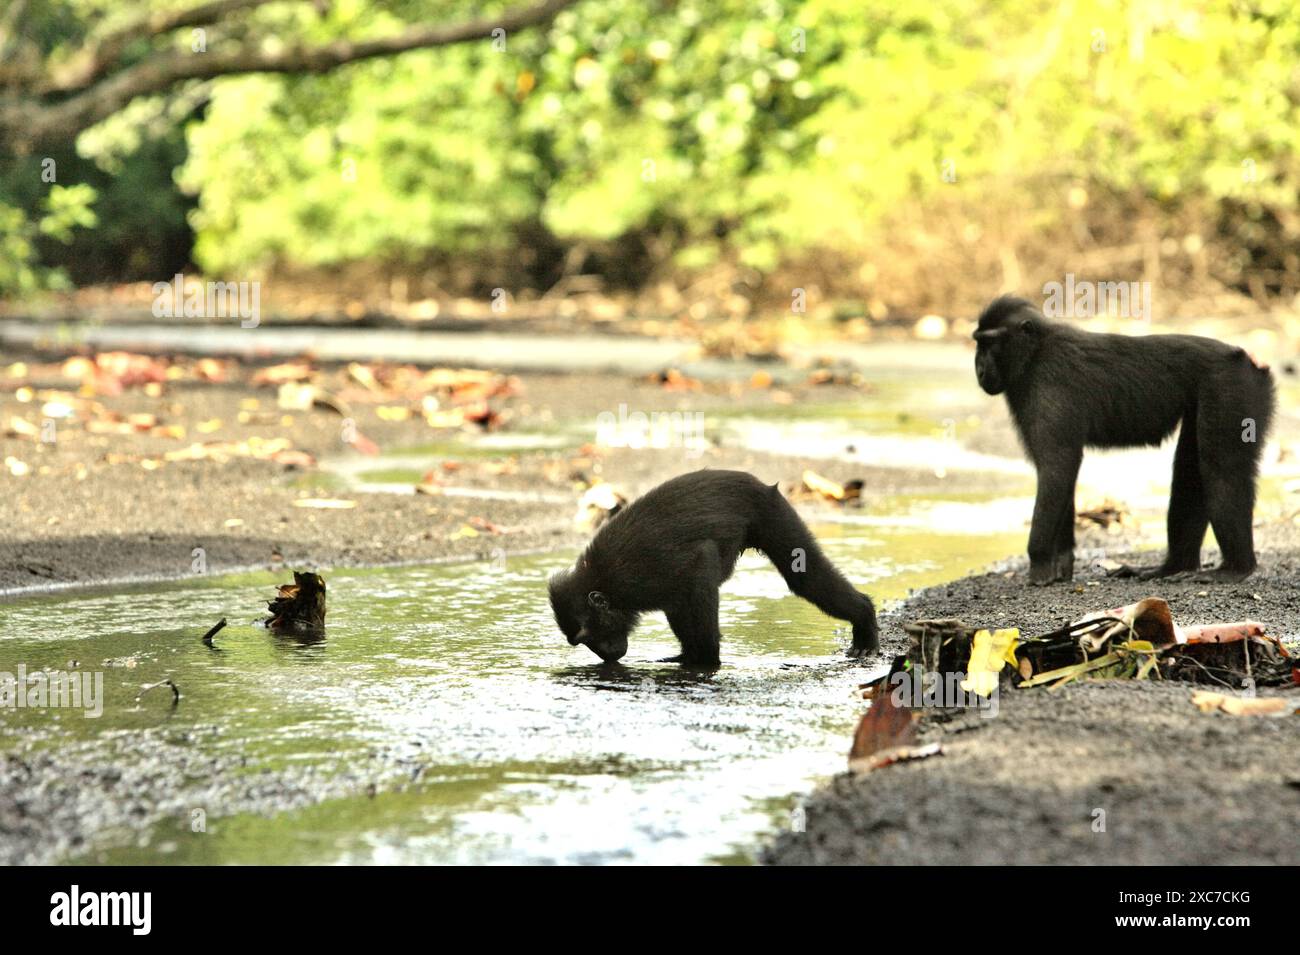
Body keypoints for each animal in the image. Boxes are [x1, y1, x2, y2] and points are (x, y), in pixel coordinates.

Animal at [548, 470, 879, 665]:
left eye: (588, 638)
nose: (605, 655)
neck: (606, 582)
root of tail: (758, 484)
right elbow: (677, 605)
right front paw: (685, 657)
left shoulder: (647, 576)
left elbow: (701, 567)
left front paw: (704, 664)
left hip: (770, 510)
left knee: (805, 576)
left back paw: (864, 616)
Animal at [973, 295, 1275, 584]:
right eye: (978, 343)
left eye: (988, 343)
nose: (978, 367)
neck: (1034, 353)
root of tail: (1246, 358)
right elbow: (1062, 475)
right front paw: (1061, 562)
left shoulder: (1047, 384)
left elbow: (1058, 466)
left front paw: (1039, 562)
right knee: (1191, 471)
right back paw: (1172, 567)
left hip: (1231, 386)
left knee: (1221, 470)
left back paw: (1236, 568)